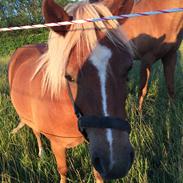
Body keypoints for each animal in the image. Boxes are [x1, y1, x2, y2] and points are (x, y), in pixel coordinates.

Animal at [8, 0, 134, 182]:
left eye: (128, 67)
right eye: (68, 76)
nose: (116, 165)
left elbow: (98, 174)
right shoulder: (57, 145)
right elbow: (63, 170)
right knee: (36, 133)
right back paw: (41, 153)